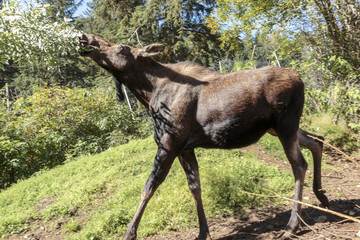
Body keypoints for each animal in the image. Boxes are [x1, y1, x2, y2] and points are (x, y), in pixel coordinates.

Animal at [79, 34, 330, 240]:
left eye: (121, 47)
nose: (85, 38)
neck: (148, 94)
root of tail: (300, 79)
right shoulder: (185, 148)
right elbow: (195, 187)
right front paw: (203, 232)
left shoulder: (169, 143)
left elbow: (149, 187)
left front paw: (130, 233)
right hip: (278, 128)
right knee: (317, 140)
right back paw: (322, 197)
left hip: (285, 124)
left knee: (299, 164)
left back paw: (292, 225)